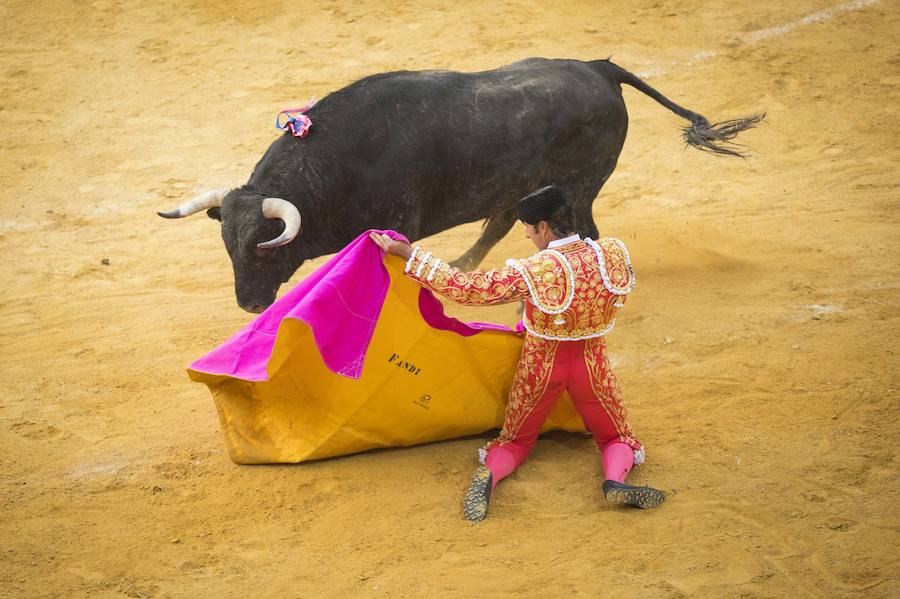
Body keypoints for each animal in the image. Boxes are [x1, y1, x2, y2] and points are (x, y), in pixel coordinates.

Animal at [160, 57, 760, 314]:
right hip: (523, 186)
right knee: (502, 222)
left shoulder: (397, 221)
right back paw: (464, 270)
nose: (249, 305)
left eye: (264, 249)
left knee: (585, 232)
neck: (338, 163)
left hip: (581, 184)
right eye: (227, 246)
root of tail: (601, 68)